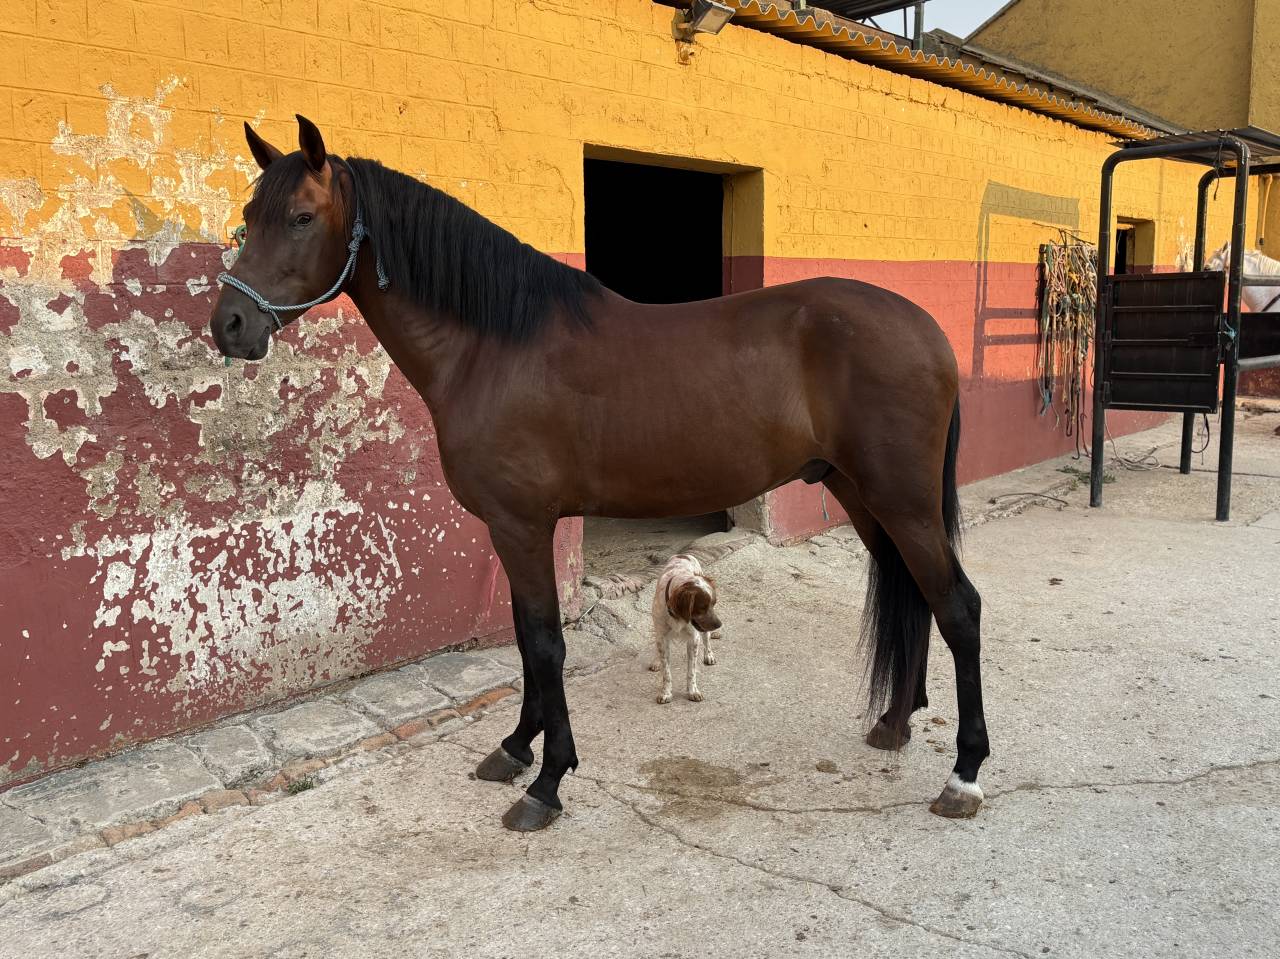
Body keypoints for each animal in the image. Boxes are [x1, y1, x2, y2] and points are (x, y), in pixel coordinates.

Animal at [208, 116, 990, 832]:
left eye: (302, 217)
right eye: (249, 214)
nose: (230, 325)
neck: (494, 347)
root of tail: (925, 326)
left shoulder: (523, 527)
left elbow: (546, 644)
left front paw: (547, 782)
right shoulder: (510, 531)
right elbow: (527, 641)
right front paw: (515, 748)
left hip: (902, 499)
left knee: (958, 607)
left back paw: (964, 774)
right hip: (861, 493)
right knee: (915, 595)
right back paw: (894, 722)